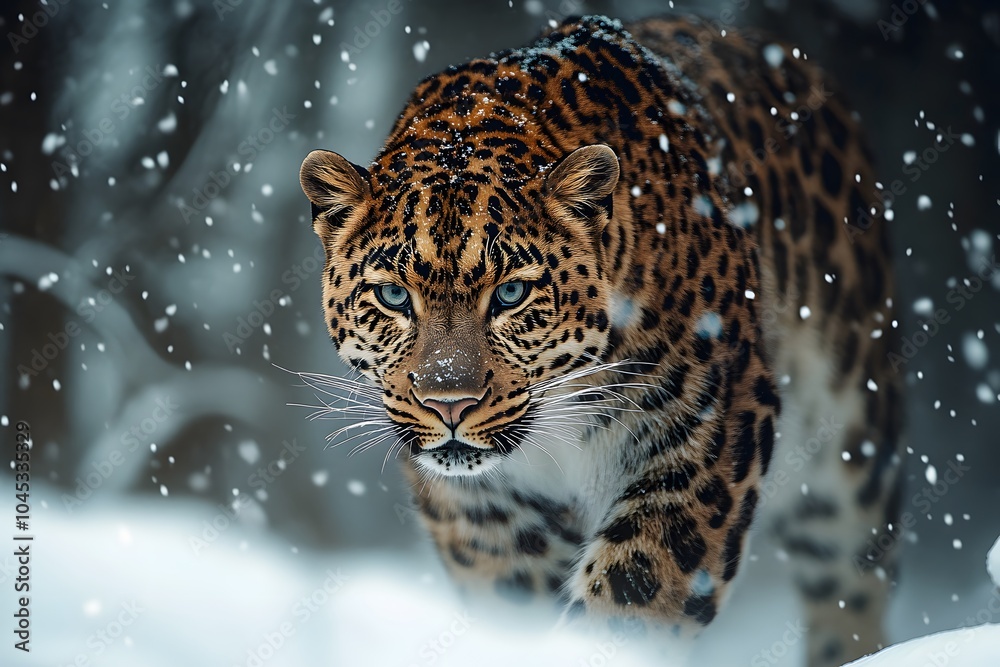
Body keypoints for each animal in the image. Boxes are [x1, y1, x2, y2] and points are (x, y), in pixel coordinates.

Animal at [298, 14, 902, 667]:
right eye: (393, 296)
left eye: (511, 294)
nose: (448, 403)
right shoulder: (481, 506)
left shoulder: (707, 428)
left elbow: (633, 592)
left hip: (850, 446)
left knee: (850, 580)